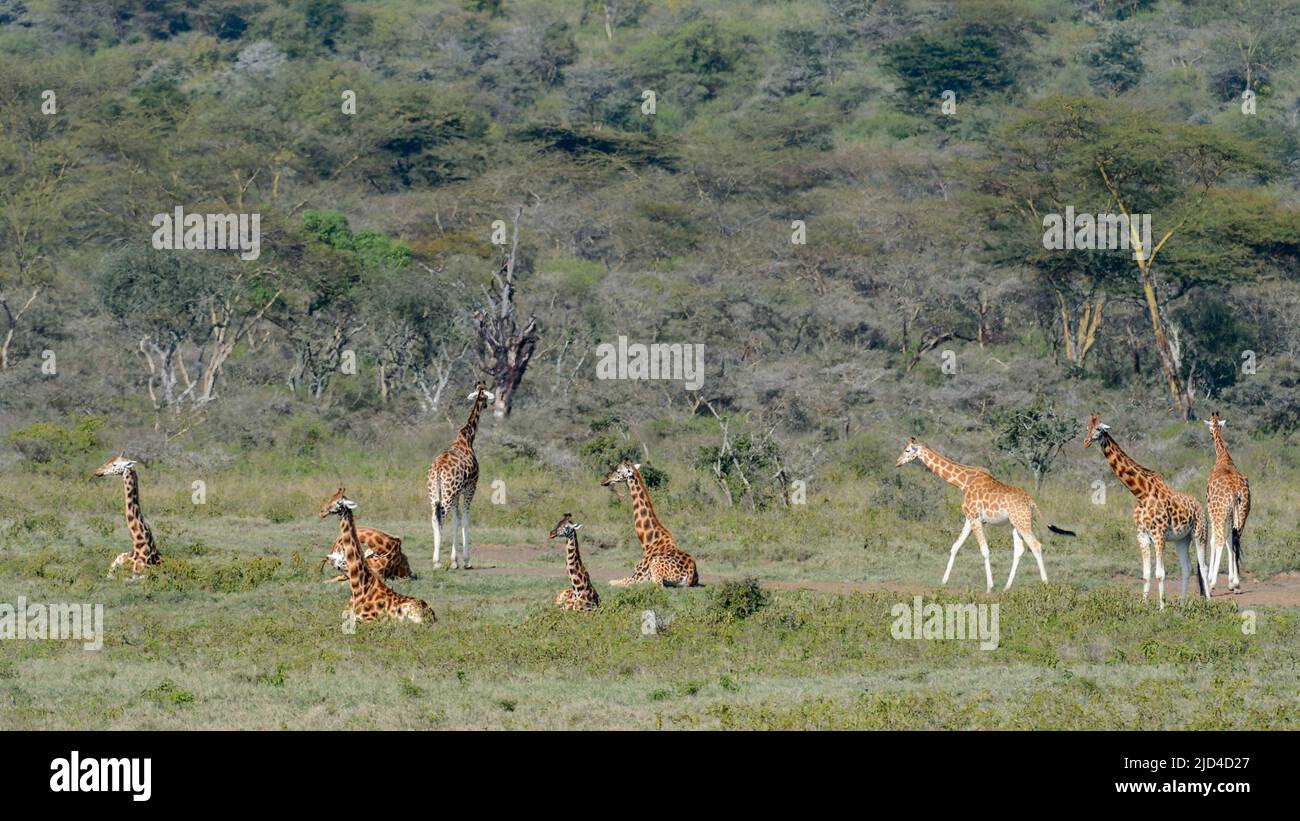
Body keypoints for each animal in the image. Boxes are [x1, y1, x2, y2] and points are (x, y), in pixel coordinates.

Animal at [319, 491, 436, 626]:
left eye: (338, 503)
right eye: (330, 498)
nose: (322, 512)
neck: (360, 587)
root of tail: (433, 615)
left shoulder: (367, 619)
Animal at [426, 381, 491, 566]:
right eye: (485, 396)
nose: (486, 404)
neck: (467, 437)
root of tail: (437, 469)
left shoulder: (457, 493)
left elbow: (456, 520)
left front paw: (455, 561)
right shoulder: (471, 486)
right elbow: (465, 519)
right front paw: (467, 561)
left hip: (435, 493)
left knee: (434, 518)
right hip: (448, 493)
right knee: (440, 517)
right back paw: (437, 562)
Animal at [894, 439, 1076, 592]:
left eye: (907, 450)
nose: (897, 462)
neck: (963, 483)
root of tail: (1030, 501)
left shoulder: (975, 518)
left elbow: (984, 550)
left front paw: (989, 587)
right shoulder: (969, 519)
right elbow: (955, 547)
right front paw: (943, 582)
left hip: (1022, 522)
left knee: (1036, 545)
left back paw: (1045, 584)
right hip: (1015, 524)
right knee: (1019, 550)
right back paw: (1007, 587)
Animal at [1081, 413, 1211, 605]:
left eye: (1098, 429)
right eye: (1087, 427)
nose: (1086, 442)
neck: (1141, 493)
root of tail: (1200, 506)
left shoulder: (1158, 535)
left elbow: (1160, 574)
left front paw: (1161, 607)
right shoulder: (1142, 536)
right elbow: (1146, 574)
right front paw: (1144, 605)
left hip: (1199, 533)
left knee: (1203, 567)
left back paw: (1208, 602)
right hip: (1181, 539)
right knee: (1187, 567)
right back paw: (1181, 605)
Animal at [1196, 413, 1248, 592]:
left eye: (1210, 430)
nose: (1210, 435)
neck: (1223, 455)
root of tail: (1234, 491)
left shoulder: (1211, 510)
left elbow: (1213, 540)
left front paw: (1212, 578)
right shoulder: (1231, 515)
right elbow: (1229, 540)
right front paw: (1232, 581)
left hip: (1219, 512)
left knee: (1218, 540)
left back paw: (1211, 583)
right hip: (1242, 512)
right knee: (1235, 539)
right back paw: (1236, 583)